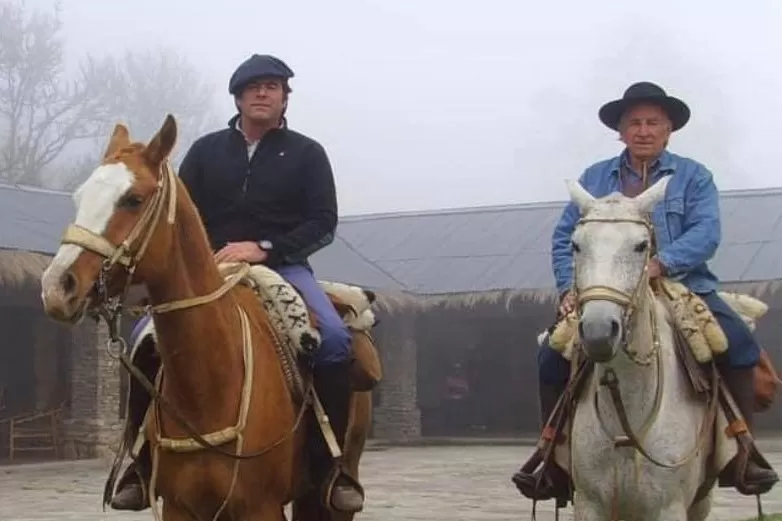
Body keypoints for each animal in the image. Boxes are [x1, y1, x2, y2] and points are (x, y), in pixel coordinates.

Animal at [39, 115, 376, 520]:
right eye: (80, 197)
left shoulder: (261, 508)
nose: (57, 287)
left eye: (133, 200)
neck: (209, 386)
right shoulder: (179, 507)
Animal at [560, 176, 724, 520]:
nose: (598, 331)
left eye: (641, 245)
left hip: (701, 502)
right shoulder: (589, 504)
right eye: (576, 245)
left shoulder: (669, 508)